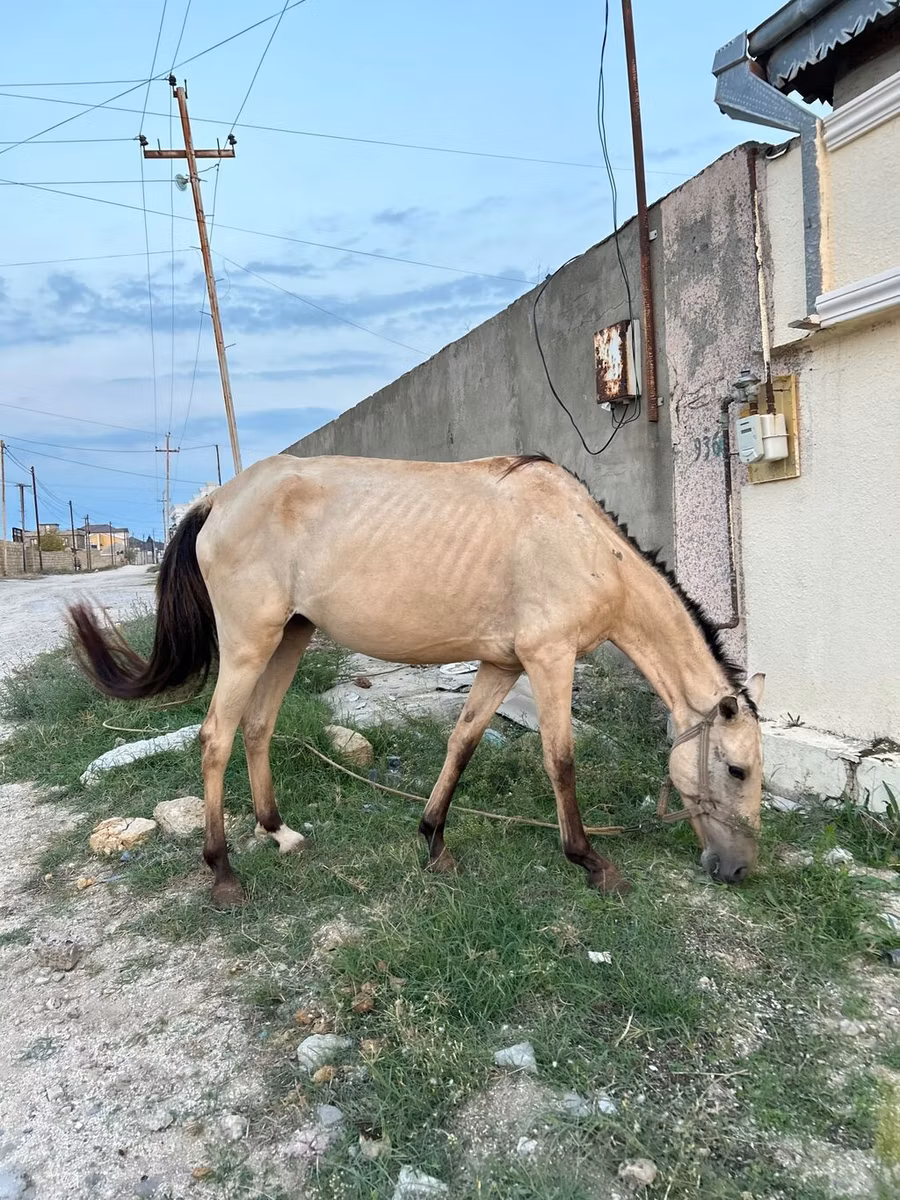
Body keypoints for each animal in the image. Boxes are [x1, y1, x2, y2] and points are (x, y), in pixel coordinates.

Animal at [68, 453, 765, 908]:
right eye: (736, 770)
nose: (738, 870)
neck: (587, 546)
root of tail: (217, 499)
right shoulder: (549, 658)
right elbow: (561, 761)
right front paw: (592, 862)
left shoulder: (504, 663)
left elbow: (463, 741)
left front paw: (433, 841)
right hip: (248, 643)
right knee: (216, 735)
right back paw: (223, 873)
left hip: (289, 637)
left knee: (258, 726)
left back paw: (278, 832)